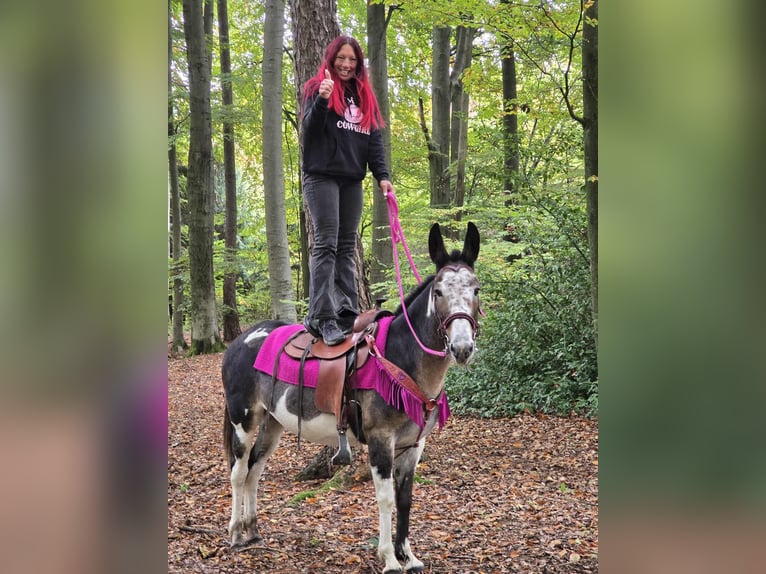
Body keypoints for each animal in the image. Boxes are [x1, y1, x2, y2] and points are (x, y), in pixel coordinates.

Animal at [221, 221, 481, 573]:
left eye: (476, 289)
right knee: (238, 473)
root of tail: (239, 341)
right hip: (243, 421)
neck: (399, 359)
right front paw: (389, 558)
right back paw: (236, 532)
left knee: (254, 471)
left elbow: (405, 499)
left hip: (272, 423)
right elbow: (385, 498)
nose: (462, 347)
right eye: (438, 292)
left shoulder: (413, 446)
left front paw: (408, 555)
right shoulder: (381, 440)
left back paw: (252, 530)